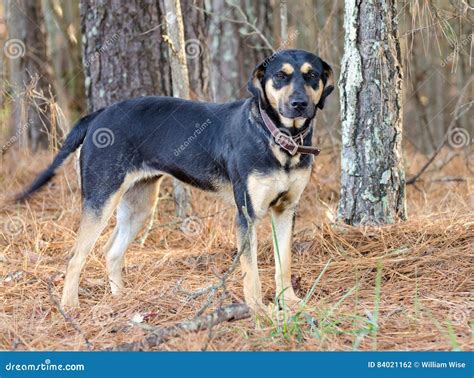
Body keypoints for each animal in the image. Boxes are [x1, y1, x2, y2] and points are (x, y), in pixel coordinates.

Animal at [17, 48, 334, 312]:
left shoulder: (286, 209)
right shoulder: (247, 213)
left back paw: (121, 299)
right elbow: (251, 271)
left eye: (312, 75)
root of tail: (98, 114)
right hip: (101, 197)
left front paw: (290, 302)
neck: (280, 138)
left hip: (139, 204)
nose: (299, 104)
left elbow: (284, 262)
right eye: (280, 76)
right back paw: (69, 306)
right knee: (75, 256)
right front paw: (258, 310)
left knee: (111, 251)